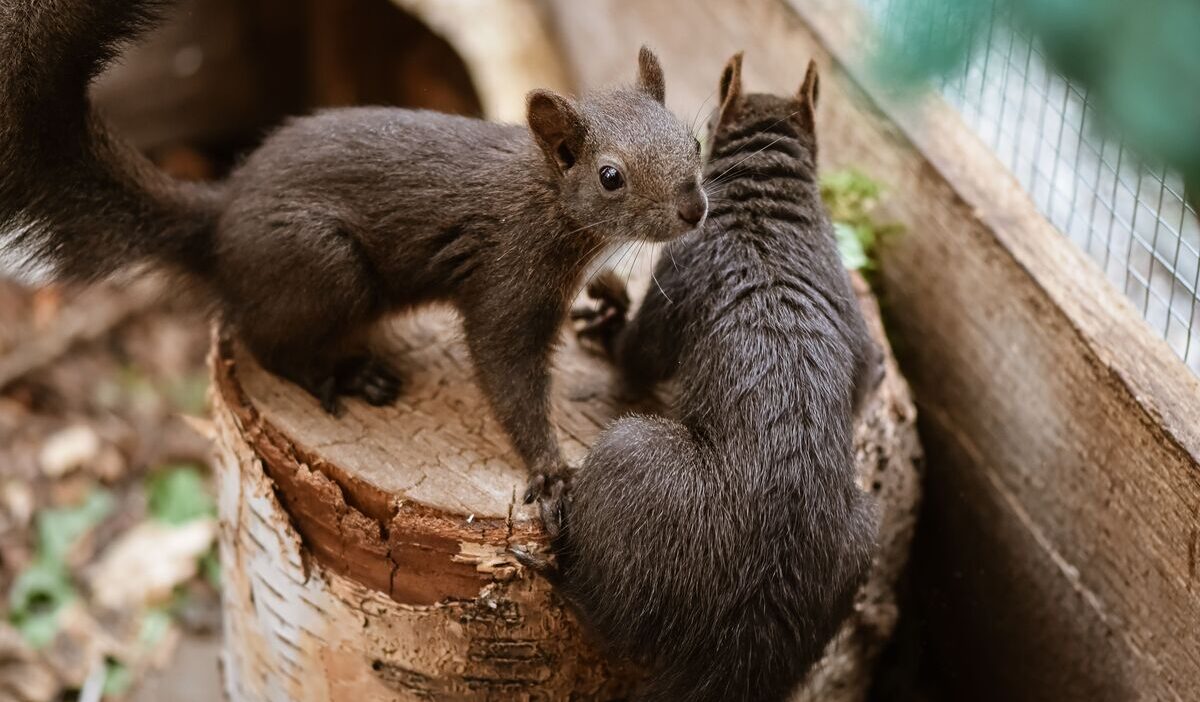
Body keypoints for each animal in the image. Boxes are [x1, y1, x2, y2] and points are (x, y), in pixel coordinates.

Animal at [0, 0, 707, 499]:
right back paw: (343, 373)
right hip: (326, 267)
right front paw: (550, 470)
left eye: (693, 140)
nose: (694, 208)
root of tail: (219, 221)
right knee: (264, 341)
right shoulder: (508, 275)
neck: (547, 199)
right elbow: (506, 371)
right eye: (610, 176)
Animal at [518, 55, 883, 700]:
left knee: (607, 617)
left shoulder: (684, 267)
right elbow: (864, 378)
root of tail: (747, 629)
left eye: (699, 138)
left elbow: (640, 354)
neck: (770, 210)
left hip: (632, 460)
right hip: (862, 538)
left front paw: (611, 320)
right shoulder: (847, 299)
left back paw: (561, 567)